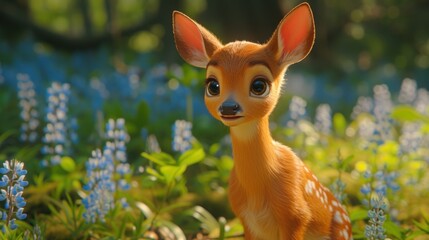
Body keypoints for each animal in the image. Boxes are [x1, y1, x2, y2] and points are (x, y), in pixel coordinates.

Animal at [172, 2, 352, 240]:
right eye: (213, 85)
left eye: (259, 85)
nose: (228, 107)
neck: (258, 189)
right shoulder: (245, 220)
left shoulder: (295, 215)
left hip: (341, 231)